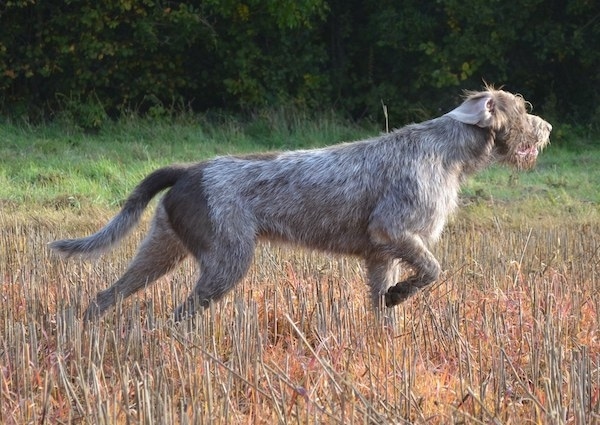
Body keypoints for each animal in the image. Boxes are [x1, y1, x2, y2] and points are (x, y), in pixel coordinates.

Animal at [51, 84, 552, 320]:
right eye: (522, 108)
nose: (547, 128)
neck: (449, 152)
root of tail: (188, 170)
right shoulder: (394, 231)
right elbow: (432, 271)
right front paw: (400, 297)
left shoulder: (381, 256)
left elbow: (382, 305)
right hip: (226, 260)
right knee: (181, 312)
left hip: (160, 249)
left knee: (106, 295)